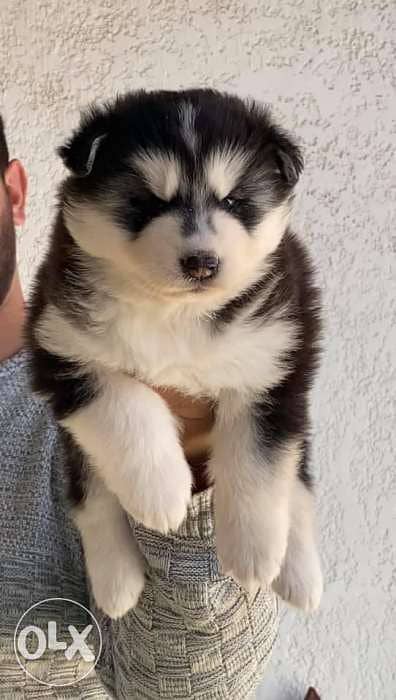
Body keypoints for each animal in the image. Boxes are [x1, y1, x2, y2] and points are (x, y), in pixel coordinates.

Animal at [28, 89, 324, 616]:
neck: (174, 311)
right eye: (148, 202)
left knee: (297, 483)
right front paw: (160, 491)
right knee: (92, 493)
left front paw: (254, 551)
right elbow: (125, 404)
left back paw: (299, 573)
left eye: (234, 201)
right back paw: (116, 581)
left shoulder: (272, 362)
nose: (202, 262)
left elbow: (259, 462)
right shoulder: (57, 344)